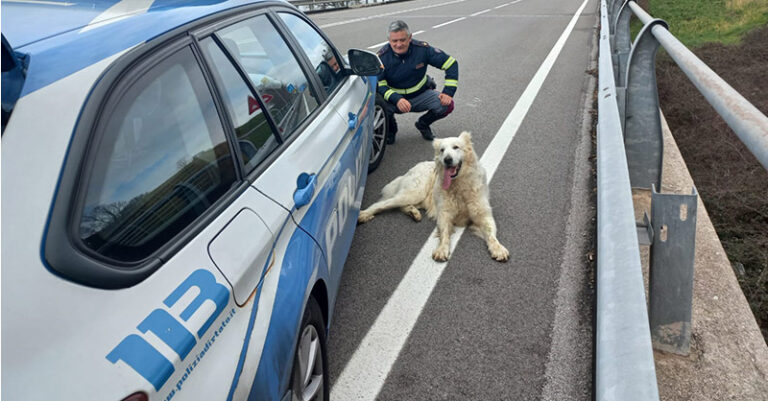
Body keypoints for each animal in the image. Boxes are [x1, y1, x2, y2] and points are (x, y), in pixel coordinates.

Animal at [358, 131, 510, 262]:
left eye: (456, 147)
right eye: (442, 150)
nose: (447, 159)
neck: (458, 185)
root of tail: (413, 167)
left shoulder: (483, 215)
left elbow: (491, 234)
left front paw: (498, 249)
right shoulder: (444, 213)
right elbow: (444, 233)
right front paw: (442, 249)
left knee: (401, 206)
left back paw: (413, 213)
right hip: (414, 193)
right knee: (382, 204)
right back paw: (364, 214)